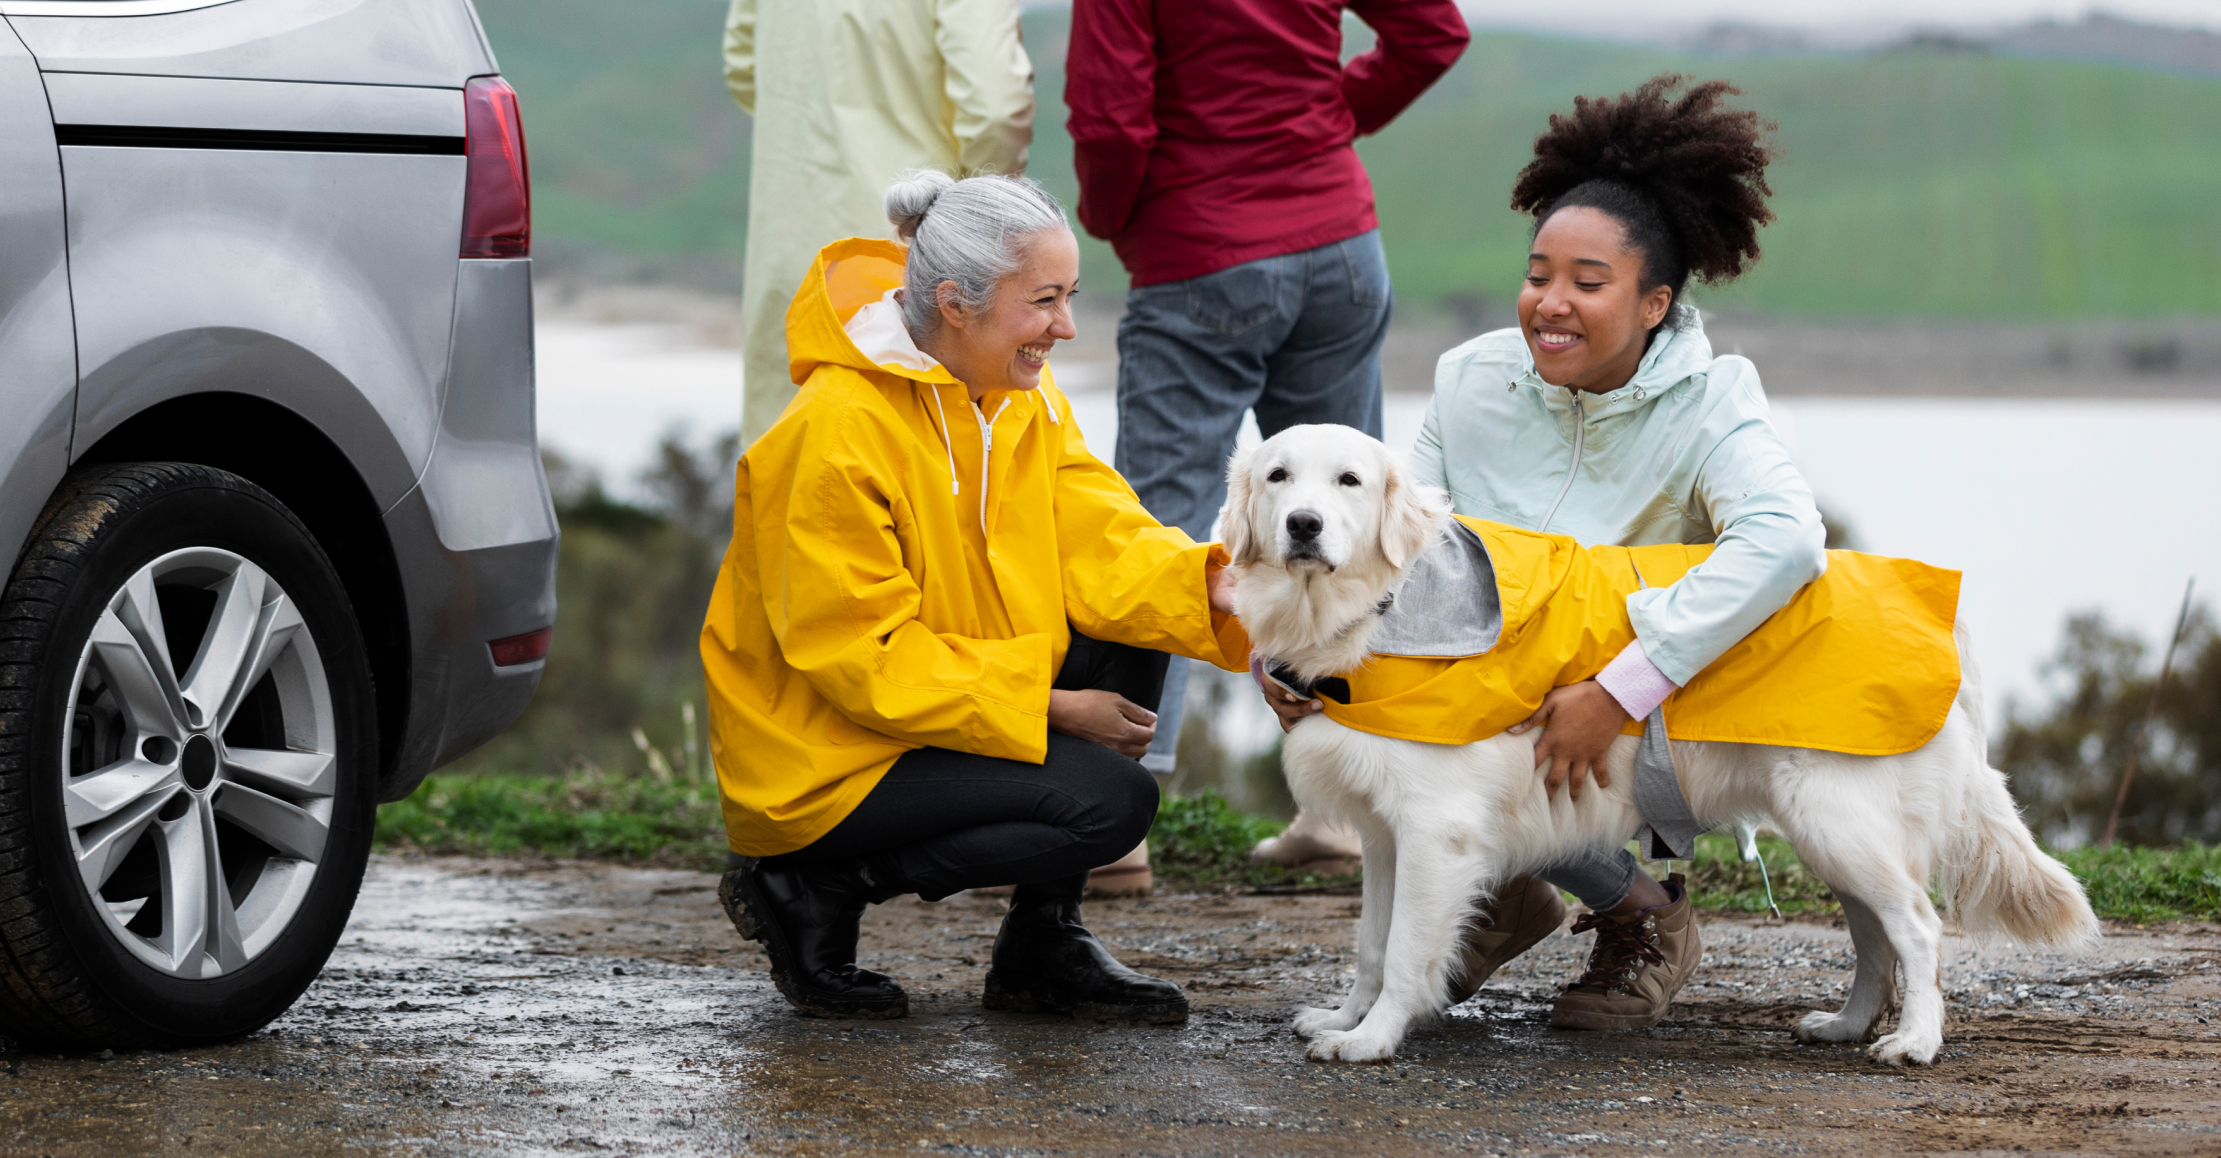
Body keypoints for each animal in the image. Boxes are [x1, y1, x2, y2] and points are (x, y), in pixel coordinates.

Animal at [1225, 424, 2087, 1066]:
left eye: (1348, 482)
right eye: (1277, 478)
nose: (1303, 526)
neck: (1377, 608)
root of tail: (1943, 618)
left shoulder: (1437, 831)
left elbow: (1405, 951)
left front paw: (1372, 1039)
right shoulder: (1381, 834)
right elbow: (1370, 944)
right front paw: (1345, 1018)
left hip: (1840, 822)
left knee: (1915, 927)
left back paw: (1913, 1041)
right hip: (1836, 836)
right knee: (1875, 934)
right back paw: (1845, 1024)